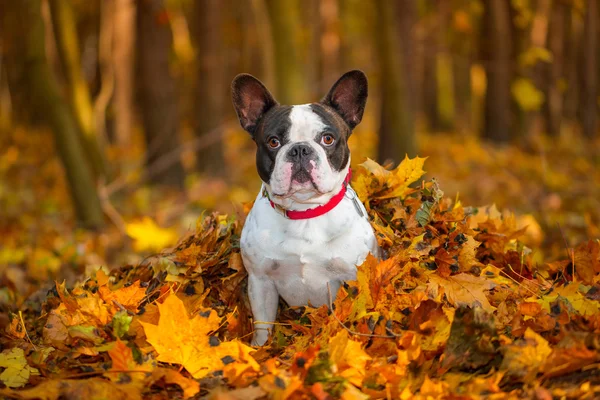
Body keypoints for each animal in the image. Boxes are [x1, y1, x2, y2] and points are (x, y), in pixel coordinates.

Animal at [232, 70, 378, 346]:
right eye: (273, 142)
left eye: (328, 139)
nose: (300, 149)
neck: (304, 212)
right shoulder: (261, 281)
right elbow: (263, 326)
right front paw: (259, 349)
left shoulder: (352, 278)